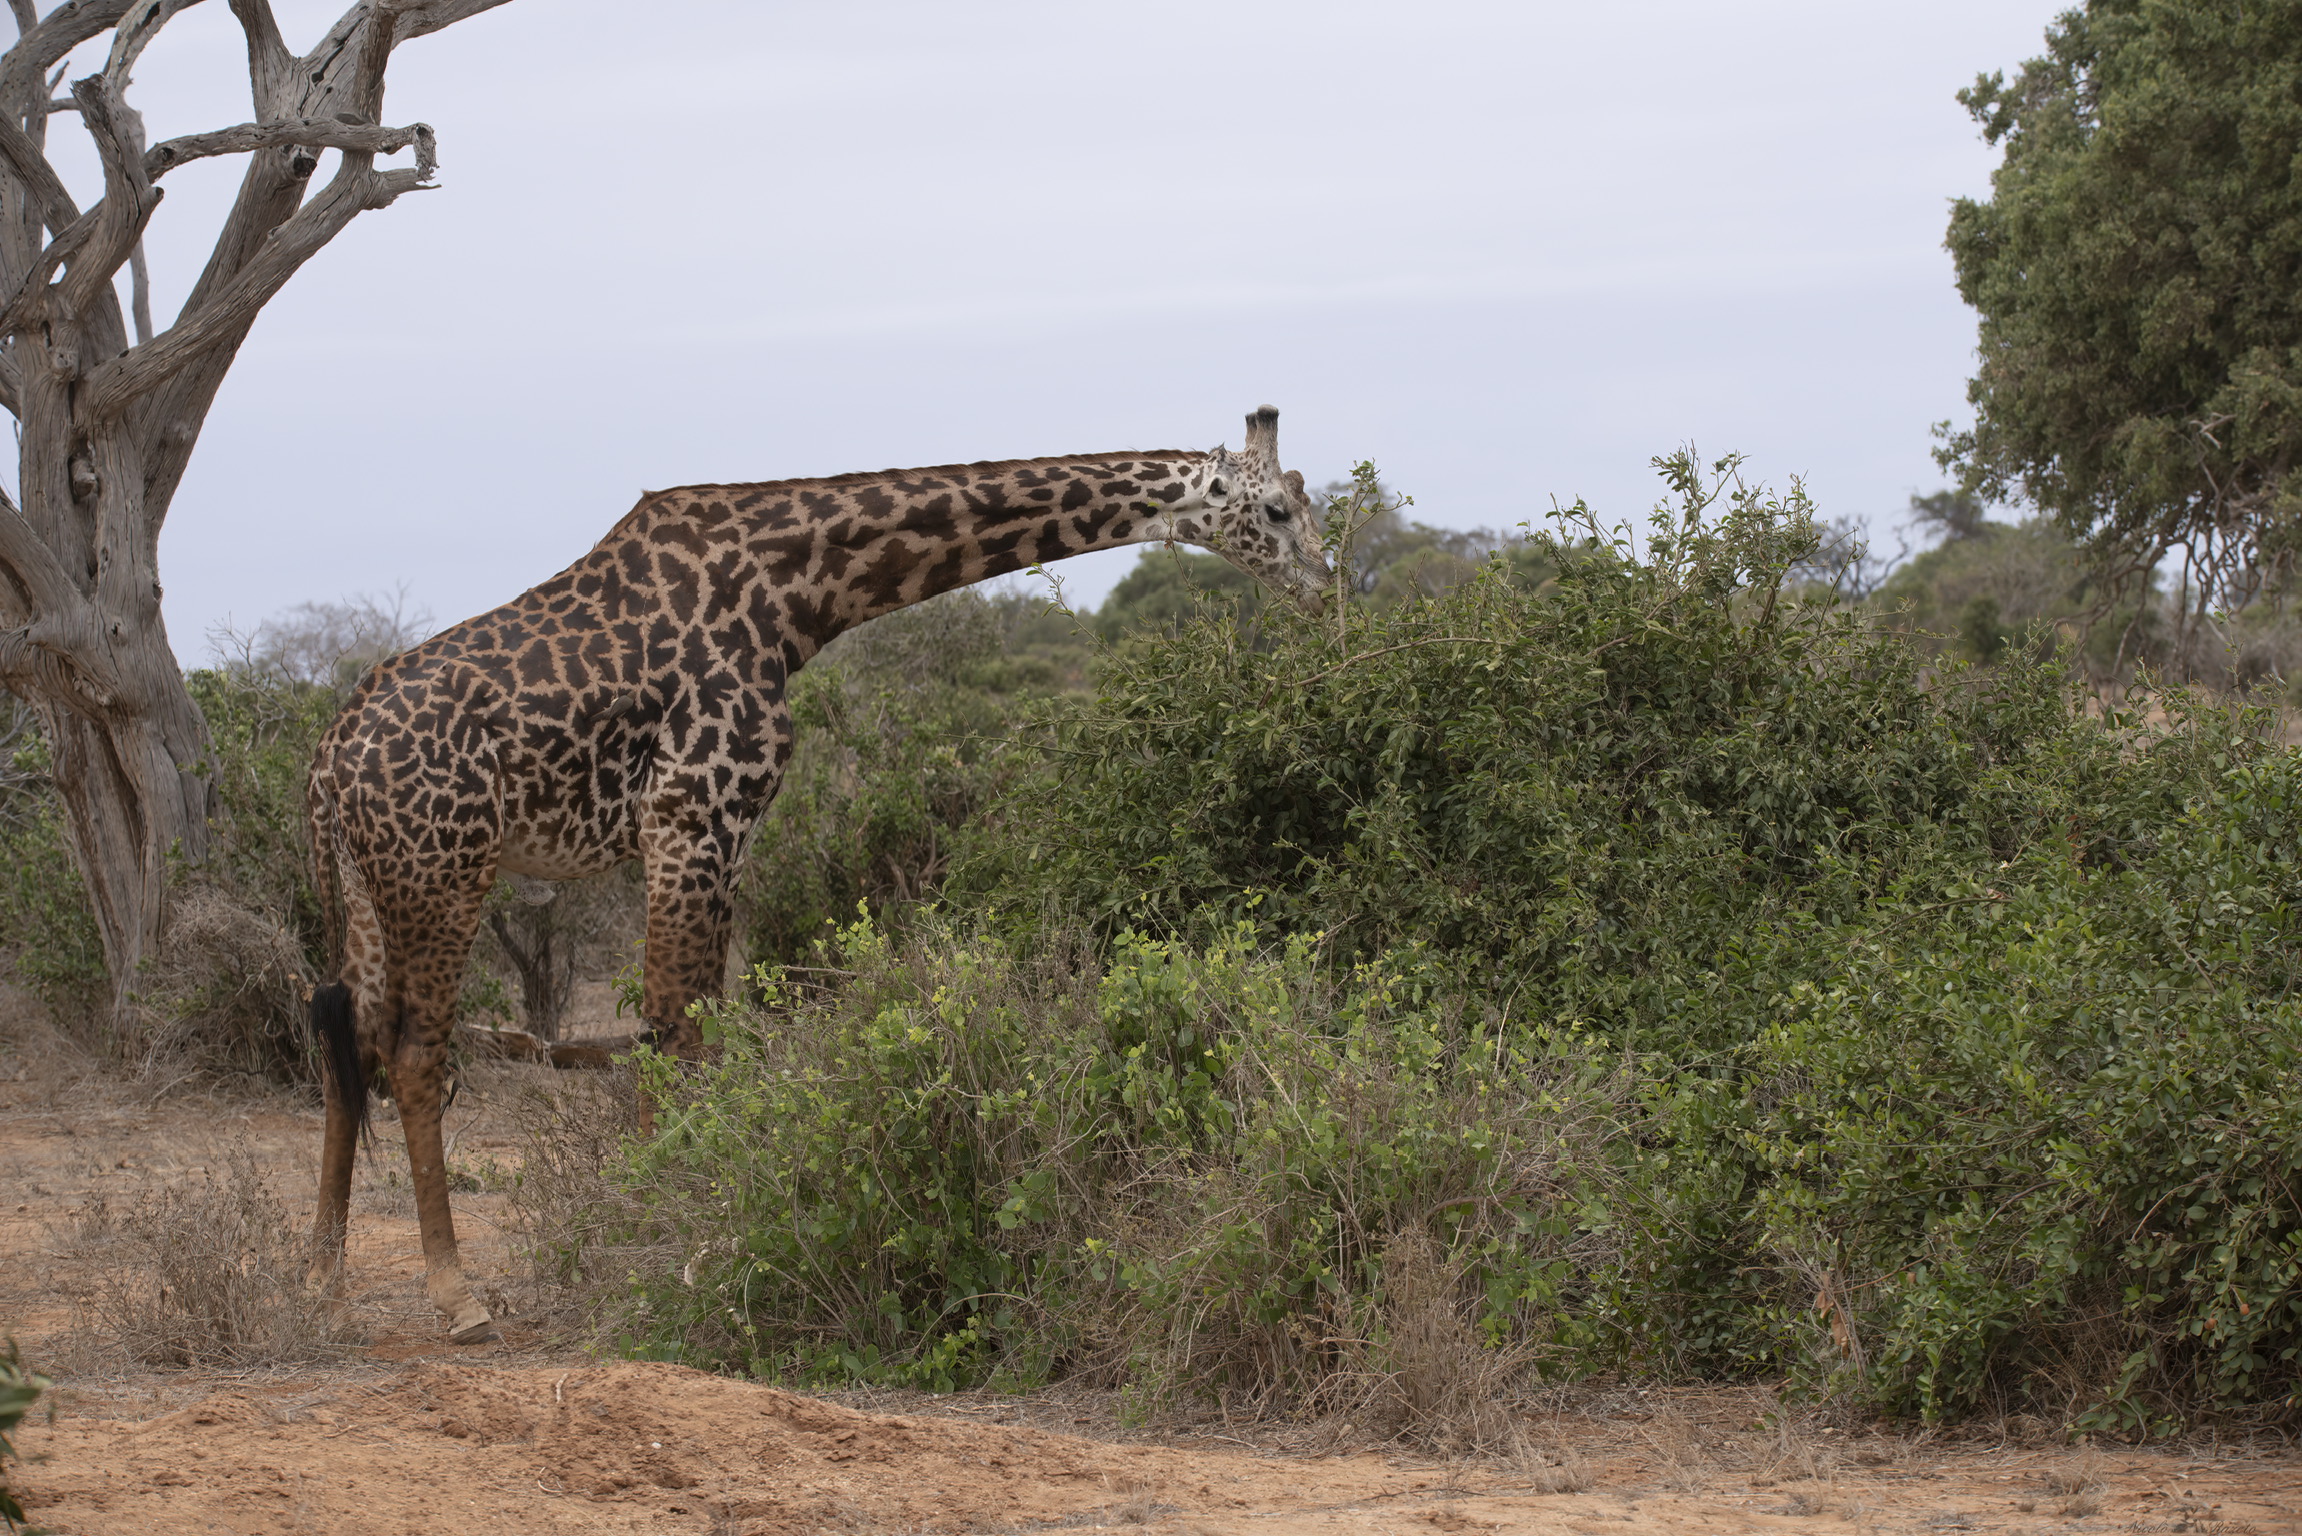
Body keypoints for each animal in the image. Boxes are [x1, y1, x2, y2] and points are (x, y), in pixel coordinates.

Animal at [303, 406, 1329, 1342]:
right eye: (1277, 509)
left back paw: (325, 1282)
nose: (1326, 587)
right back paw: (455, 1296)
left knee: (346, 1037)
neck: (798, 592)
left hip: (364, 891)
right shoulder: (693, 818)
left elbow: (689, 1028)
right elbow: (677, 1031)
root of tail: (327, 767)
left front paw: (674, 1214)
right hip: (444, 876)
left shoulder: (713, 835)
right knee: (414, 1052)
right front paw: (675, 1228)